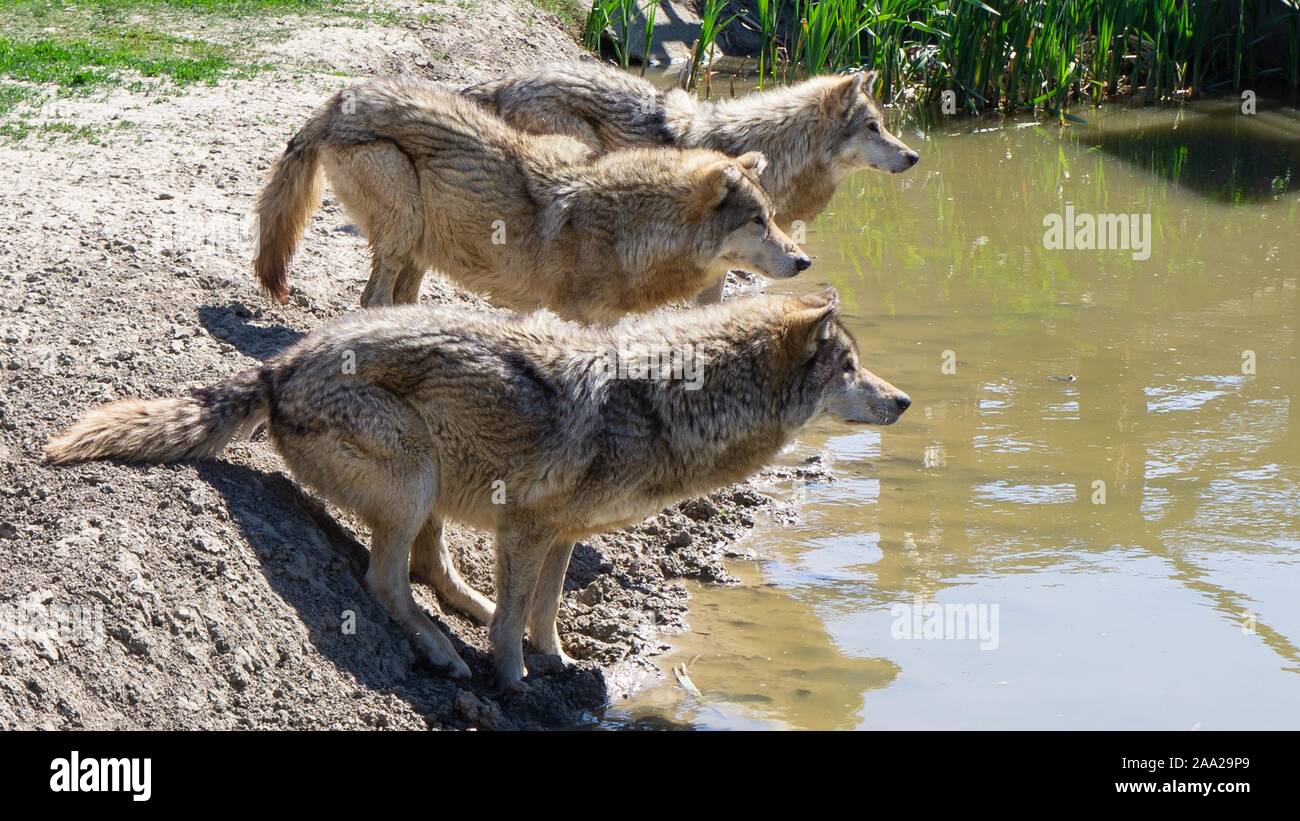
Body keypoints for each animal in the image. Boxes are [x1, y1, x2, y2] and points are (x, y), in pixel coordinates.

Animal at [43, 292, 915, 691]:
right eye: (849, 368)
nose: (905, 401)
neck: (670, 402)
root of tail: (277, 365)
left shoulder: (559, 536)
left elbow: (543, 606)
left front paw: (557, 658)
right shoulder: (526, 529)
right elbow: (515, 619)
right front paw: (513, 677)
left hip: (436, 485)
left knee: (430, 568)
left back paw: (457, 613)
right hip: (416, 476)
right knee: (384, 580)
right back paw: (437, 647)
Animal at [250, 77, 811, 320]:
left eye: (772, 219)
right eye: (758, 222)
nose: (806, 261)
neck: (629, 229)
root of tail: (342, 99)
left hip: (423, 247)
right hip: (404, 229)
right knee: (371, 300)